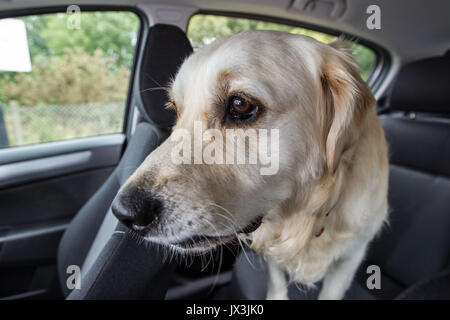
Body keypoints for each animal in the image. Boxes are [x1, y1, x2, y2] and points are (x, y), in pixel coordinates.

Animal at [110, 30, 388, 300]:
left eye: (240, 104)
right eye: (175, 110)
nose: (124, 213)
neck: (308, 214)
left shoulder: (351, 257)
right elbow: (276, 283)